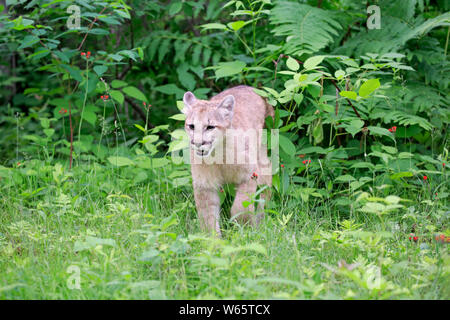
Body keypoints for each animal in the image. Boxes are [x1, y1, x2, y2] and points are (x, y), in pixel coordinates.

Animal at [182, 86, 274, 236]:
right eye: (191, 126)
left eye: (210, 127)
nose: (197, 143)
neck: (218, 155)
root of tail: (251, 88)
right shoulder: (204, 184)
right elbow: (208, 216)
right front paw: (213, 239)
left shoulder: (248, 175)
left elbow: (241, 206)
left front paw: (244, 231)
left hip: (262, 154)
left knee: (266, 184)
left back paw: (261, 220)